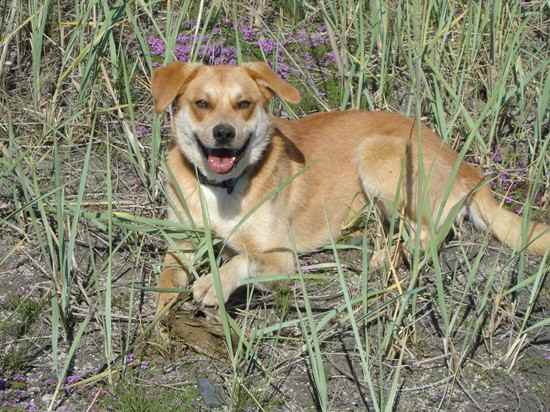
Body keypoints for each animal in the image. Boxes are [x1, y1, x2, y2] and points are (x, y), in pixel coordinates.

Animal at [152, 61, 550, 312]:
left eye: (244, 104)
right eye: (201, 103)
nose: (223, 133)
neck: (222, 188)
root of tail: (468, 168)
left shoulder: (280, 256)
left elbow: (244, 258)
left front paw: (214, 283)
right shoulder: (181, 241)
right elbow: (167, 275)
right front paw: (158, 317)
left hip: (376, 153)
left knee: (427, 235)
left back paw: (386, 258)